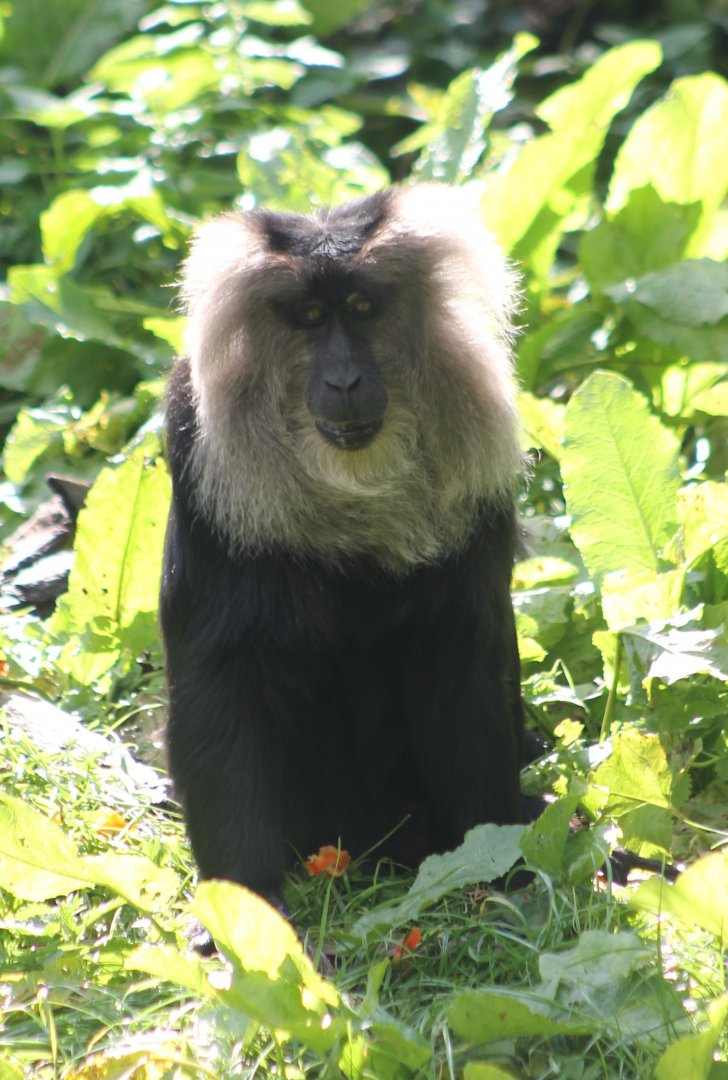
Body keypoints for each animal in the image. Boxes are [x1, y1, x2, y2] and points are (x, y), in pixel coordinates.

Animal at [160, 184, 526, 907]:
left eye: (360, 309)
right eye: (307, 317)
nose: (345, 381)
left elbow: (468, 663)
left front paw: (507, 877)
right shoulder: (195, 451)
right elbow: (217, 685)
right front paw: (247, 913)